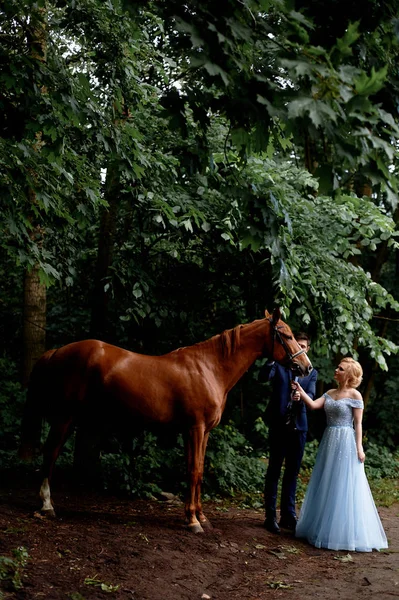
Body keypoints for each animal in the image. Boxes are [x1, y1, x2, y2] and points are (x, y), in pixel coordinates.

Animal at [19, 310, 312, 536]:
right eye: (286, 335)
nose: (306, 367)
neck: (209, 368)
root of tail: (57, 351)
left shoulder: (202, 433)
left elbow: (199, 472)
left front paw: (200, 516)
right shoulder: (194, 429)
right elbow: (193, 472)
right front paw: (193, 521)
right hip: (64, 417)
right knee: (50, 453)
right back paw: (47, 505)